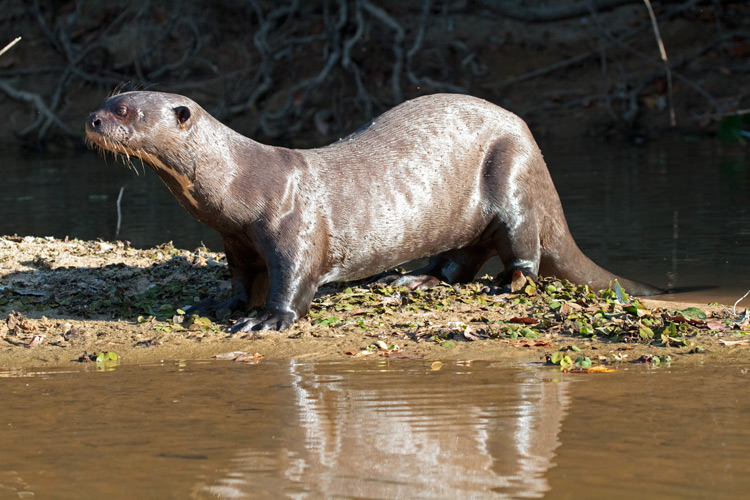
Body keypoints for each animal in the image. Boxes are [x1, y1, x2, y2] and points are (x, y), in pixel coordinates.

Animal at [86, 91, 664, 330]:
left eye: (125, 110)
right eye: (108, 97)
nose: (92, 119)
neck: (241, 184)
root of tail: (529, 135)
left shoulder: (295, 225)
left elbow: (295, 277)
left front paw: (268, 319)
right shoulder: (236, 241)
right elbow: (240, 278)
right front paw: (223, 306)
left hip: (514, 175)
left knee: (526, 251)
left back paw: (507, 285)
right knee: (460, 260)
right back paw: (415, 279)